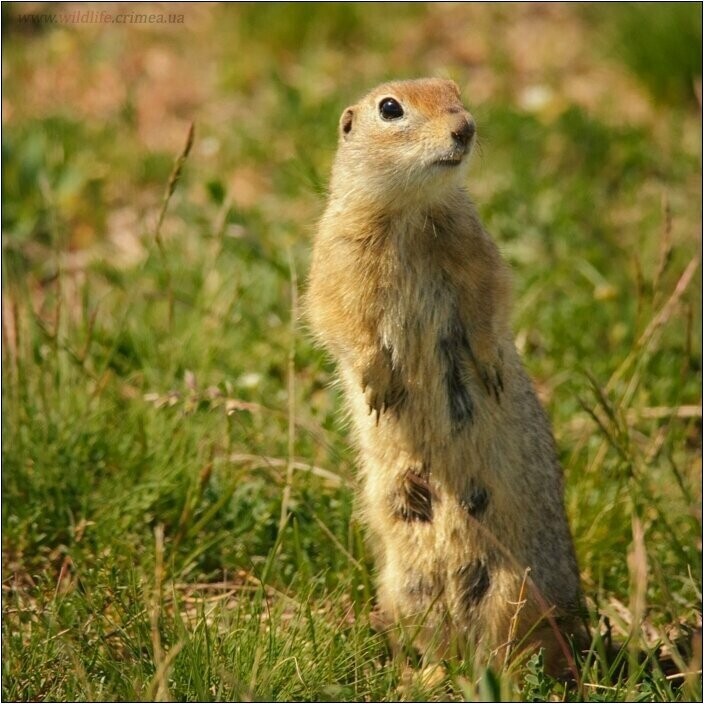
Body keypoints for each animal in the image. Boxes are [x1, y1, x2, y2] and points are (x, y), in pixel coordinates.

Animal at [306, 78, 584, 672]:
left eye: (453, 90)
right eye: (390, 108)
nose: (466, 127)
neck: (410, 211)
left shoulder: (474, 246)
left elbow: (490, 299)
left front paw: (492, 368)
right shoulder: (336, 257)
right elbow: (338, 318)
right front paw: (379, 385)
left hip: (518, 589)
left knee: (515, 652)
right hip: (407, 589)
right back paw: (425, 677)